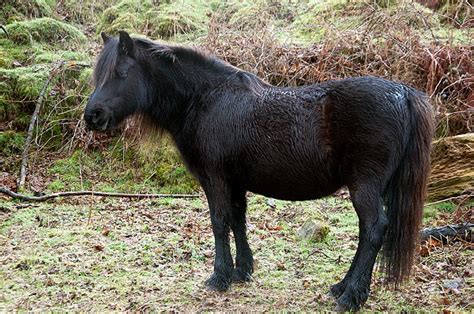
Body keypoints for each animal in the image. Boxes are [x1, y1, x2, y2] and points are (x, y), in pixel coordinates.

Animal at [84, 30, 434, 310]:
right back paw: (342, 287)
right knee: (366, 232)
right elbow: (238, 220)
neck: (206, 100)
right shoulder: (235, 182)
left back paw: (352, 297)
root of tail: (403, 93)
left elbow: (219, 222)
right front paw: (242, 271)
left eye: (120, 72)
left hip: (365, 186)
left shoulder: (215, 179)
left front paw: (220, 276)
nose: (93, 116)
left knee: (374, 228)